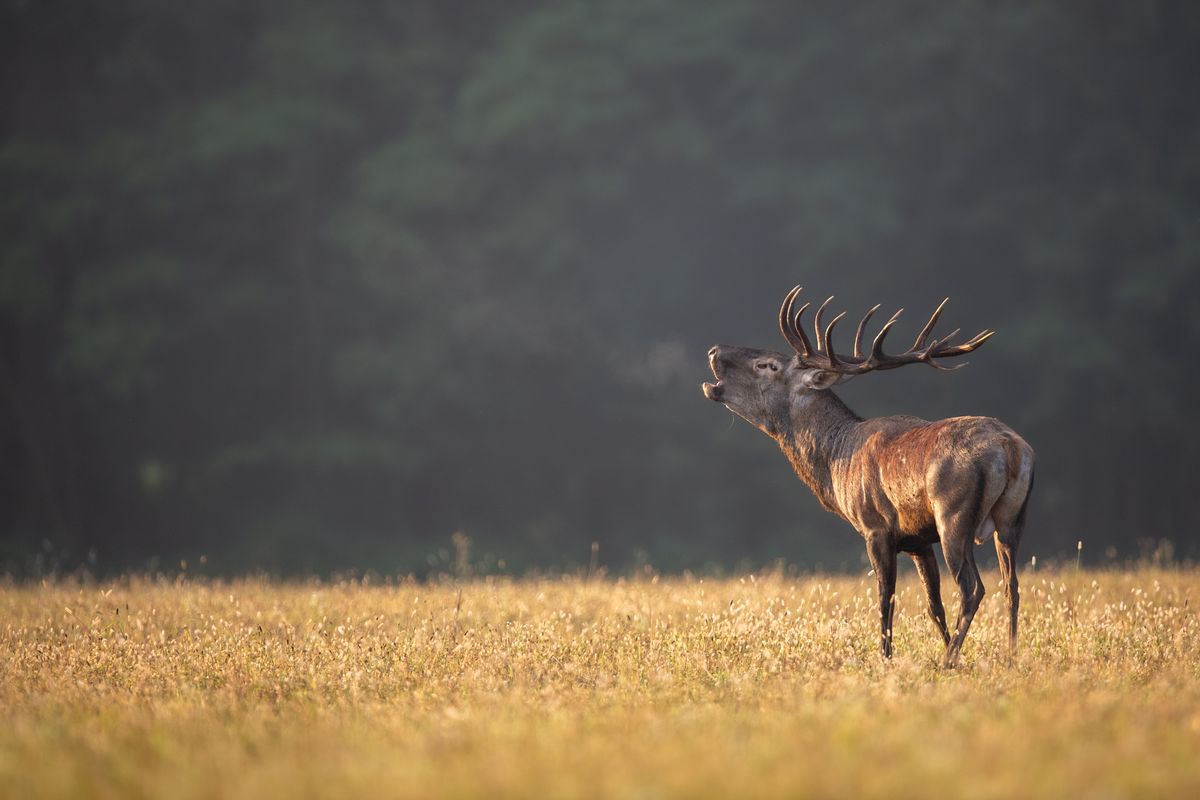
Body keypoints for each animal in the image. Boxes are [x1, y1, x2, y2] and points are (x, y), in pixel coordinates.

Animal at [700, 284, 1032, 666]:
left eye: (766, 365)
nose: (713, 350)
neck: (835, 465)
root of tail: (1010, 448)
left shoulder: (876, 527)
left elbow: (885, 599)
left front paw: (886, 658)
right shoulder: (918, 540)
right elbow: (933, 606)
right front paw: (952, 653)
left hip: (954, 515)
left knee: (973, 588)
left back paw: (948, 661)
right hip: (1011, 519)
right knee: (1012, 586)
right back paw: (1009, 656)